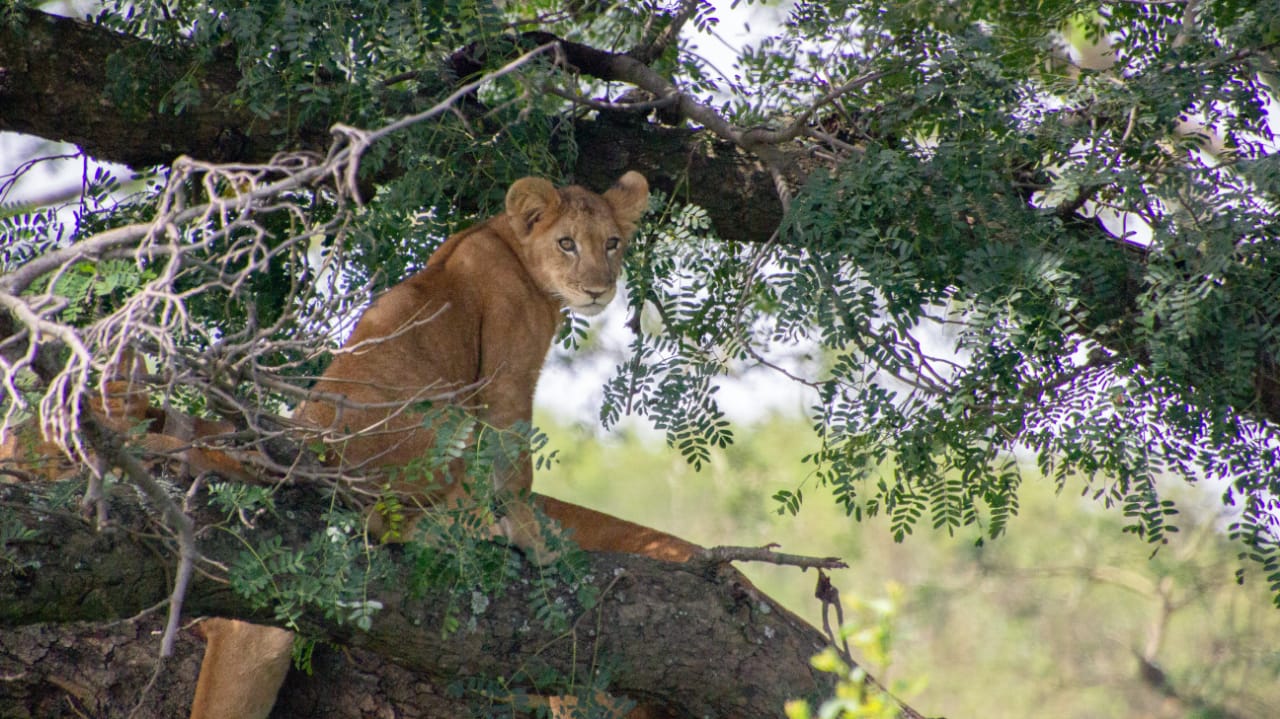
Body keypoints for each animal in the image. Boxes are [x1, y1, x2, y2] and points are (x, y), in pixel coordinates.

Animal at [189, 172, 701, 716]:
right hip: (440, 430)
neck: (509, 245)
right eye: (567, 244)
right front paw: (534, 538)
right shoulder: (507, 376)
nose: (598, 290)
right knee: (389, 524)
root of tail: (303, 442)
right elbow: (514, 466)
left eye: (612, 243)